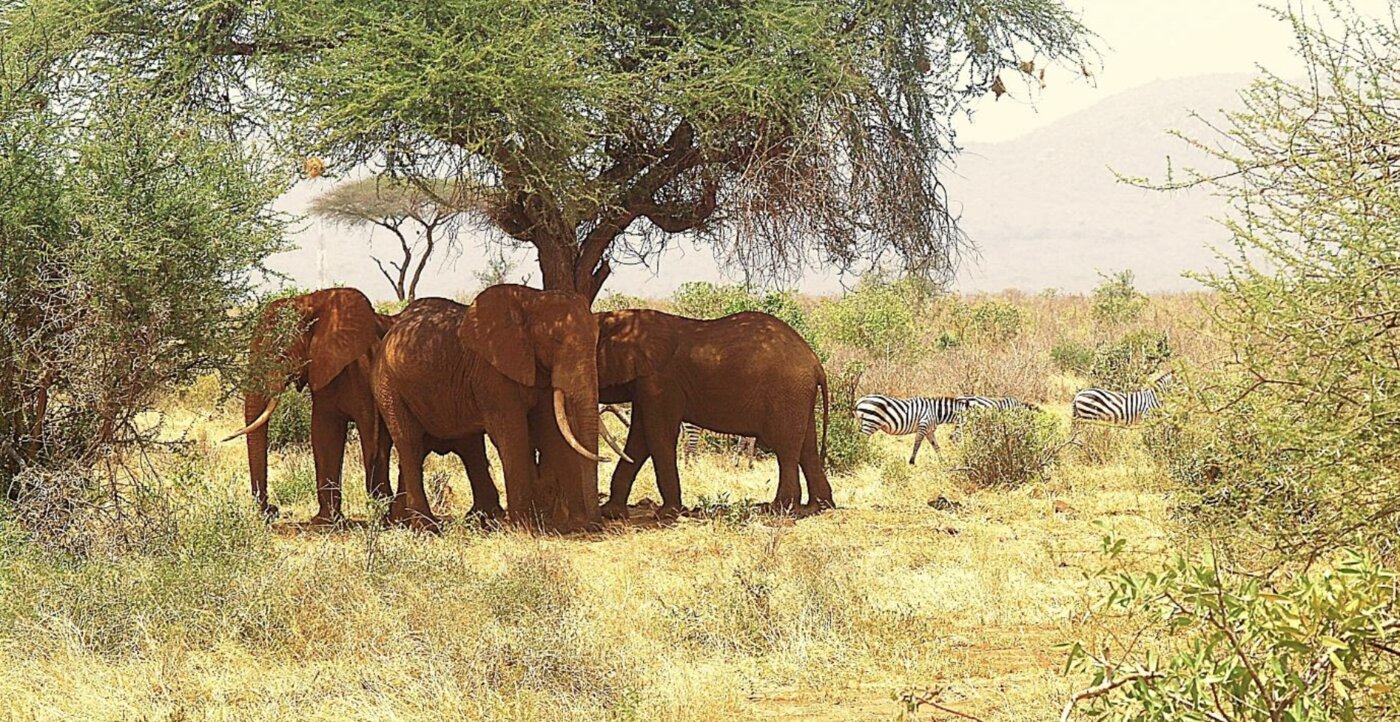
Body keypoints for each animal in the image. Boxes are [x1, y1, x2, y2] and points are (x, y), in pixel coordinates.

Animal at [223, 288, 502, 525]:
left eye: (280, 353)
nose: (272, 511)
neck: (312, 301)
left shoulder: (363, 366)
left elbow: (372, 434)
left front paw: (381, 513)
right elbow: (323, 433)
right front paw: (325, 522)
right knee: (470, 448)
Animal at [370, 284, 604, 532]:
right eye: (556, 340)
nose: (595, 525)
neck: (533, 299)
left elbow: (550, 431)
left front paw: (576, 525)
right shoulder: (492, 372)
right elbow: (512, 434)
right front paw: (523, 528)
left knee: (467, 448)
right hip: (388, 387)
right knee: (410, 443)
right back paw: (427, 527)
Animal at [595, 309, 833, 518]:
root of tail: (816, 364)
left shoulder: (660, 382)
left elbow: (658, 436)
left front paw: (667, 514)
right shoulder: (647, 385)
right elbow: (640, 438)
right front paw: (611, 513)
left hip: (787, 392)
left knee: (787, 449)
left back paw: (778, 509)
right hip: (798, 395)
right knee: (808, 448)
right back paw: (818, 506)